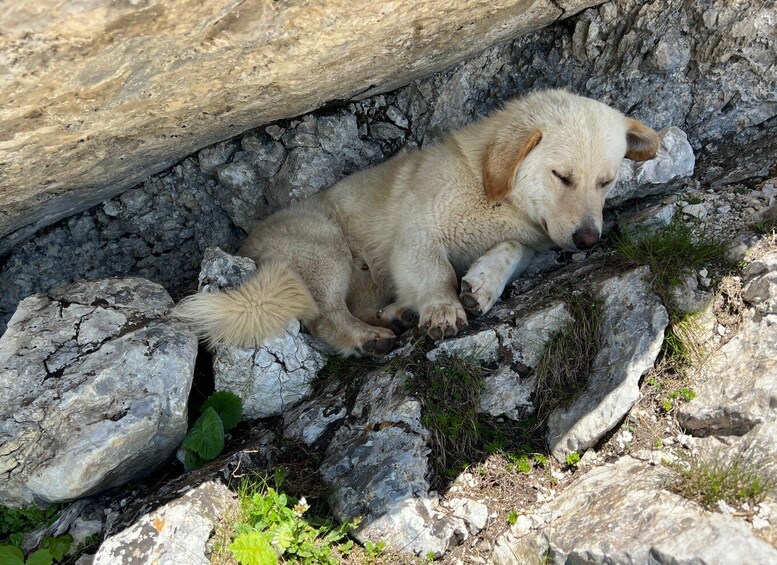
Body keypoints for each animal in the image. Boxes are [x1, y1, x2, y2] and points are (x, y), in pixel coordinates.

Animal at [177, 88, 660, 354]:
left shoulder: (527, 238)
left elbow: (511, 249)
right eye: (562, 176)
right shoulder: (418, 235)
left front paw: (482, 285)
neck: (491, 191)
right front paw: (443, 307)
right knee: (325, 315)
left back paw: (399, 314)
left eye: (606, 181)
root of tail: (244, 247)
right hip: (323, 251)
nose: (588, 239)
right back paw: (369, 336)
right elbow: (436, 272)